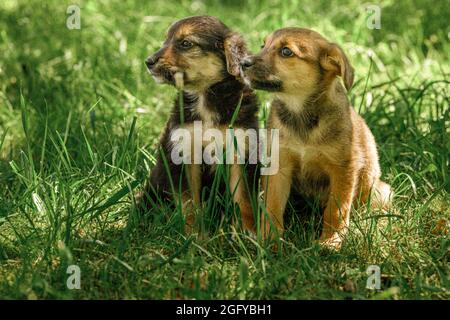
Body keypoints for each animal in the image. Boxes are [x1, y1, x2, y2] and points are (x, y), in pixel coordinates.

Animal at [139, 15, 258, 232]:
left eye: (186, 43)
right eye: (165, 40)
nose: (148, 61)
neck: (204, 96)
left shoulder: (241, 152)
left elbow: (243, 199)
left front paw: (248, 234)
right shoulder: (183, 154)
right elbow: (189, 204)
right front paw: (195, 236)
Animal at [241, 27, 392, 249]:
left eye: (286, 52)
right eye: (263, 45)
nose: (243, 63)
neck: (301, 114)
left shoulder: (344, 168)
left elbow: (336, 210)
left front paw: (331, 241)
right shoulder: (279, 165)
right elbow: (273, 205)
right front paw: (269, 239)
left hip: (382, 192)